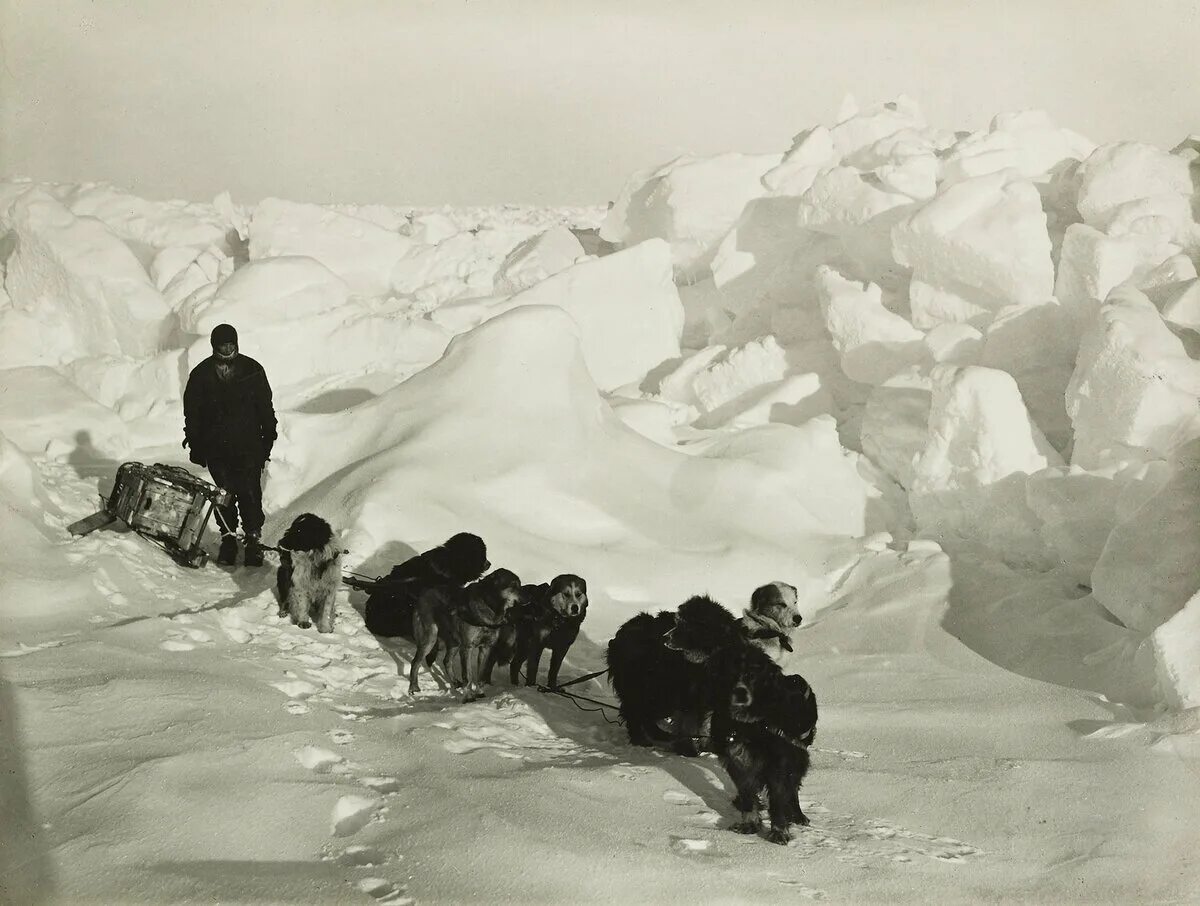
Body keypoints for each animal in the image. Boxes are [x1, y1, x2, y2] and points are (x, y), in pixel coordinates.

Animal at [604, 595, 744, 758]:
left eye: (685, 625)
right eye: (678, 623)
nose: (665, 637)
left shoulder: (710, 696)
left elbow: (707, 724)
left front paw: (708, 747)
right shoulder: (686, 695)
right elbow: (687, 724)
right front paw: (688, 750)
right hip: (643, 687)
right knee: (634, 711)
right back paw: (640, 739)